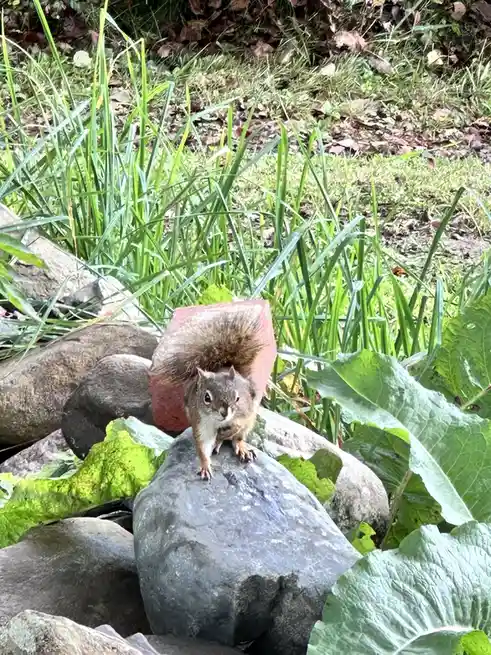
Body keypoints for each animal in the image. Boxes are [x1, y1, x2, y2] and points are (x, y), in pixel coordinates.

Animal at [153, 306, 264, 480]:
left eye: (237, 397)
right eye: (207, 398)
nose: (225, 413)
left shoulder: (245, 413)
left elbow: (237, 426)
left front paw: (228, 432)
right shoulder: (200, 422)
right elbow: (203, 446)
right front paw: (205, 466)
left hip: (251, 419)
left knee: (238, 438)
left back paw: (240, 447)